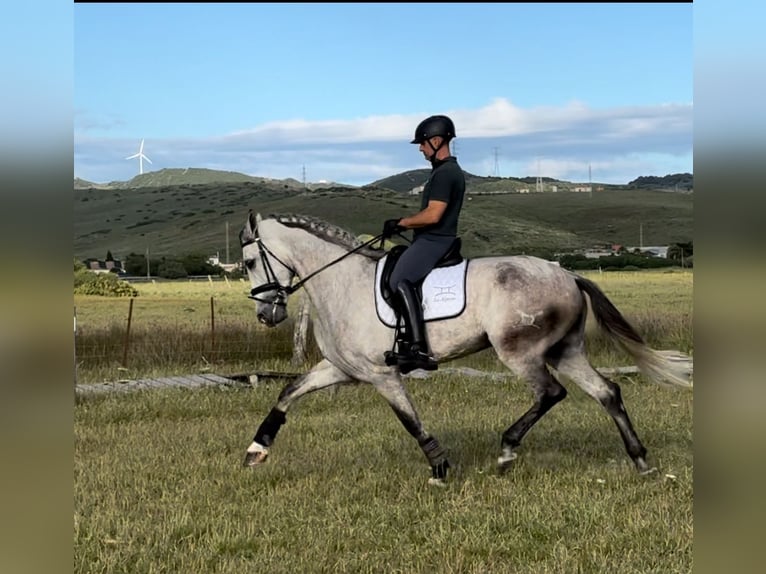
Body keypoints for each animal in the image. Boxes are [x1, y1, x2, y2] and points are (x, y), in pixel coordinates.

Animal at [238, 211, 691, 486]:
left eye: (249, 262)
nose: (266, 315)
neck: (342, 281)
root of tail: (567, 273)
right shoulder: (340, 368)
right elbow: (287, 393)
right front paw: (256, 449)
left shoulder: (381, 374)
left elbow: (410, 421)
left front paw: (439, 467)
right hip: (566, 349)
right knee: (606, 392)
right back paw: (641, 460)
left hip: (520, 352)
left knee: (551, 392)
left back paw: (507, 450)